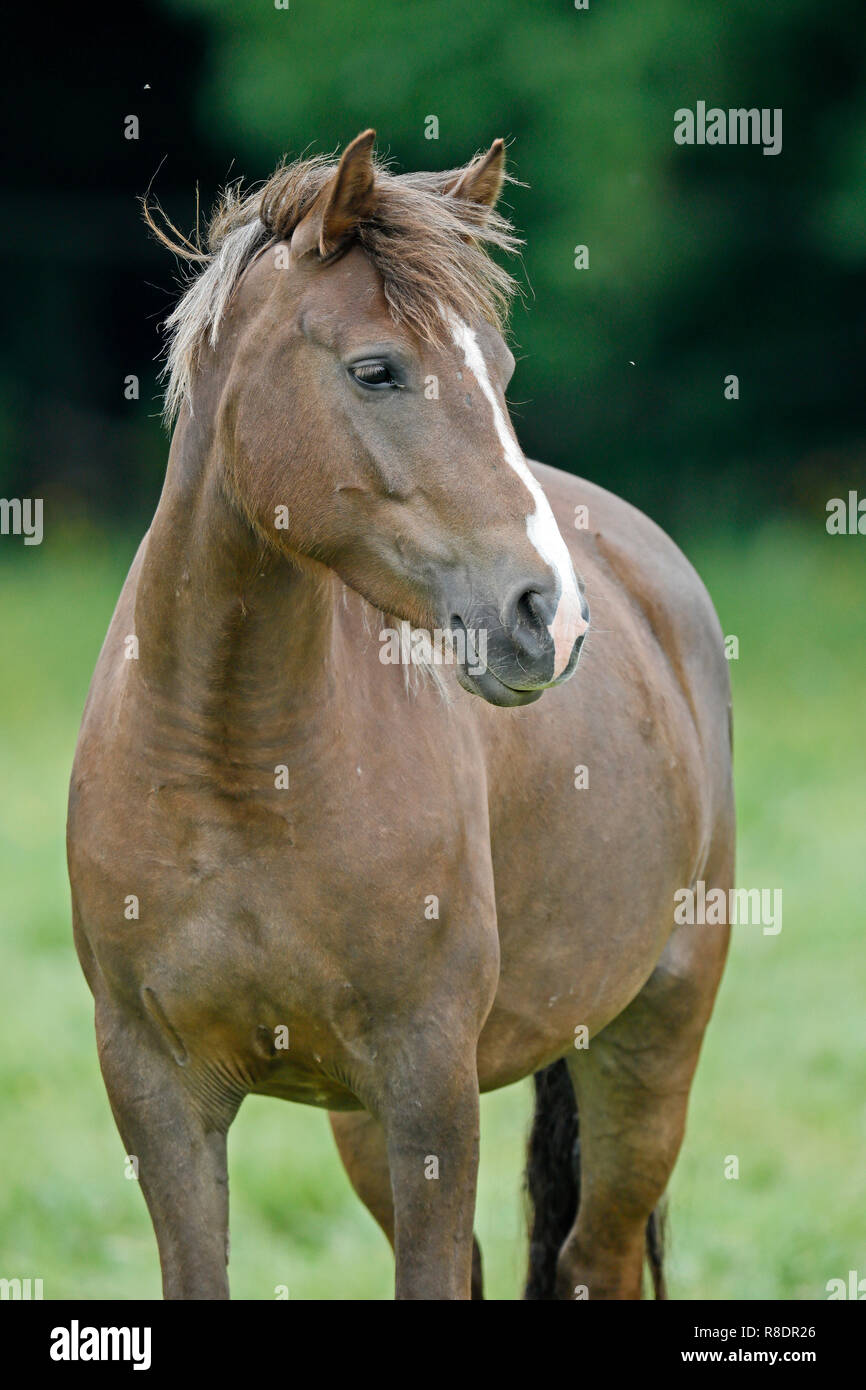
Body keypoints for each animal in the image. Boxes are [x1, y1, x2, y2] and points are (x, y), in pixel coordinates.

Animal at [64, 130, 733, 1301]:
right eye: (375, 369)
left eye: (498, 373)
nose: (548, 616)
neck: (239, 767)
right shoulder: (158, 1092)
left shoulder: (429, 1086)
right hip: (361, 1122)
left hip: (649, 1042)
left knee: (593, 1254)